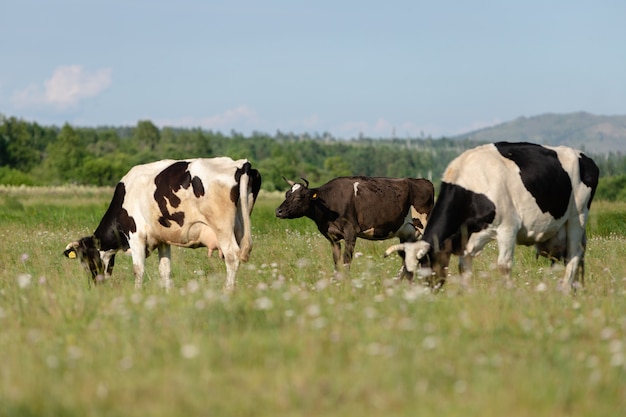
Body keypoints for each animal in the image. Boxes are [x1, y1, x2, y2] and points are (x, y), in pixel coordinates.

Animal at [67, 156, 262, 290]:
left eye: (86, 259)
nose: (96, 284)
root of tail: (240, 164)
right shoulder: (162, 239)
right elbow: (165, 271)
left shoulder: (135, 236)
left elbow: (138, 270)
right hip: (241, 226)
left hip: (223, 228)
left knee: (232, 257)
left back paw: (227, 292)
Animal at [276, 174, 432, 278]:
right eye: (286, 194)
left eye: (298, 197)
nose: (278, 211)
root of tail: (424, 180)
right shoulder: (332, 237)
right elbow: (336, 261)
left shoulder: (350, 233)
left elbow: (346, 261)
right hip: (407, 233)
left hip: (423, 226)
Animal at [382, 141, 596, 290]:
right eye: (410, 272)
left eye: (426, 264)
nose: (429, 291)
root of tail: (587, 159)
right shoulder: (466, 239)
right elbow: (464, 270)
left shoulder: (508, 228)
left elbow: (504, 266)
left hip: (577, 217)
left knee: (574, 255)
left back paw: (566, 290)